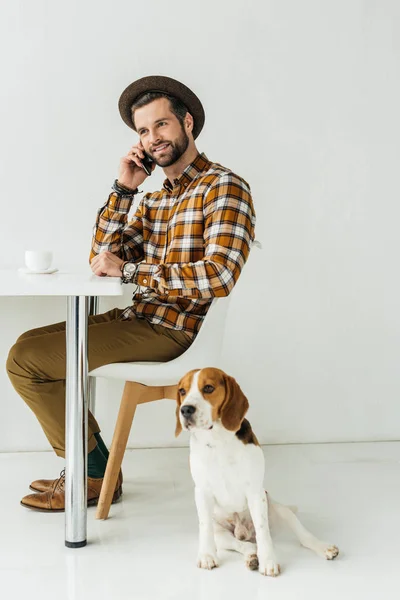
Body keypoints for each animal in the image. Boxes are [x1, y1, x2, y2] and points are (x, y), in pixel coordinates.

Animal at [174, 366, 338, 576]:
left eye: (208, 388)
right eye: (182, 391)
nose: (185, 409)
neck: (218, 439)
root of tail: (244, 532)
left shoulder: (254, 492)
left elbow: (263, 532)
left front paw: (268, 561)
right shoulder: (202, 491)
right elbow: (205, 528)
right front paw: (207, 556)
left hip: (280, 511)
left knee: (300, 536)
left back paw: (322, 547)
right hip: (222, 534)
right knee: (243, 544)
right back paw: (252, 556)